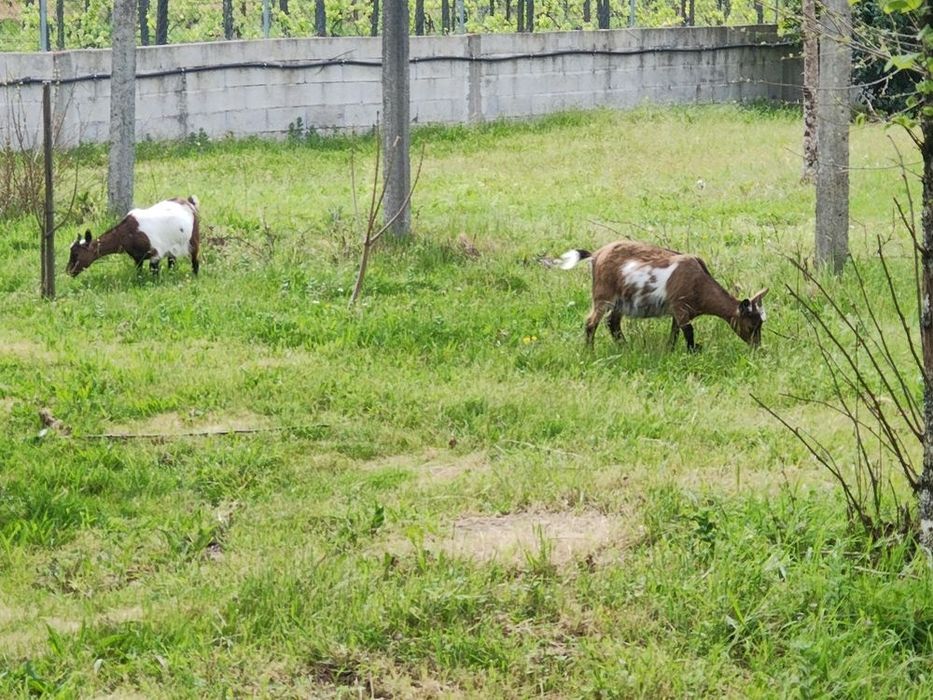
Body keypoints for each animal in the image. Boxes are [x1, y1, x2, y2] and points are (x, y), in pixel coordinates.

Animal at [66, 196, 201, 277]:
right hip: (173, 246)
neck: (127, 233)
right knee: (172, 261)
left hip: (193, 239)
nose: (68, 271)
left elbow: (154, 272)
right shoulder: (137, 258)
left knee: (195, 259)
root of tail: (189, 202)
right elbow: (139, 272)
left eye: (76, 254)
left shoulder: (155, 254)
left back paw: (195, 276)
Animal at [557, 240, 768, 351]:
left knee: (612, 323)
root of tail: (596, 254)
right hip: (603, 295)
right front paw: (692, 353)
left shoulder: (678, 311)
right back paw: (590, 351)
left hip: (621, 301)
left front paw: (670, 350)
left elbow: (675, 332)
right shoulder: (680, 307)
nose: (757, 348)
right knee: (591, 322)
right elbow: (688, 332)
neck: (699, 282)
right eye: (751, 326)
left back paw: (625, 347)